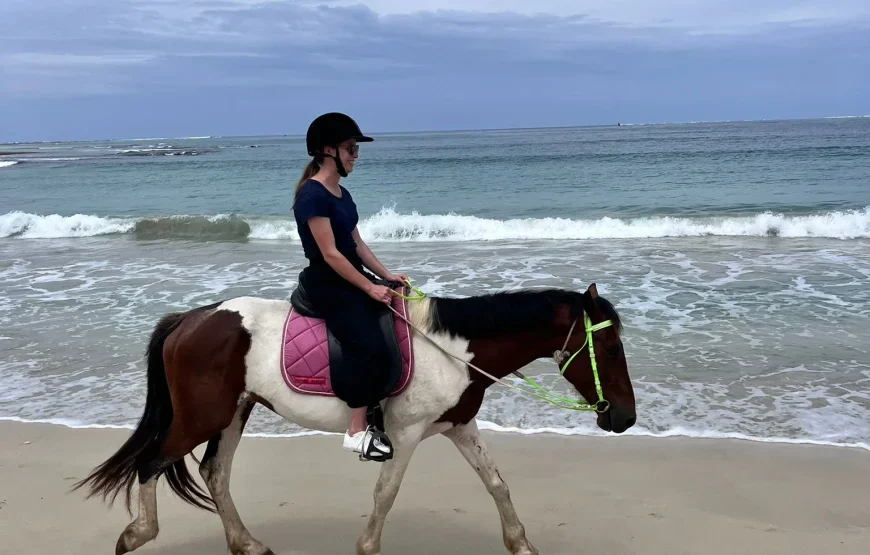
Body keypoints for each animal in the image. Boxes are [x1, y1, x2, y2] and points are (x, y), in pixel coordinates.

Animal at [73, 282, 636, 555]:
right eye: (610, 349)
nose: (625, 419)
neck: (453, 349)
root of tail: (191, 318)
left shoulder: (459, 426)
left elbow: (496, 483)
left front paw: (521, 544)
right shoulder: (406, 435)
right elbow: (385, 494)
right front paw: (367, 548)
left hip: (234, 412)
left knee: (215, 472)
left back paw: (245, 544)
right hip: (202, 416)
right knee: (151, 463)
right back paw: (136, 536)